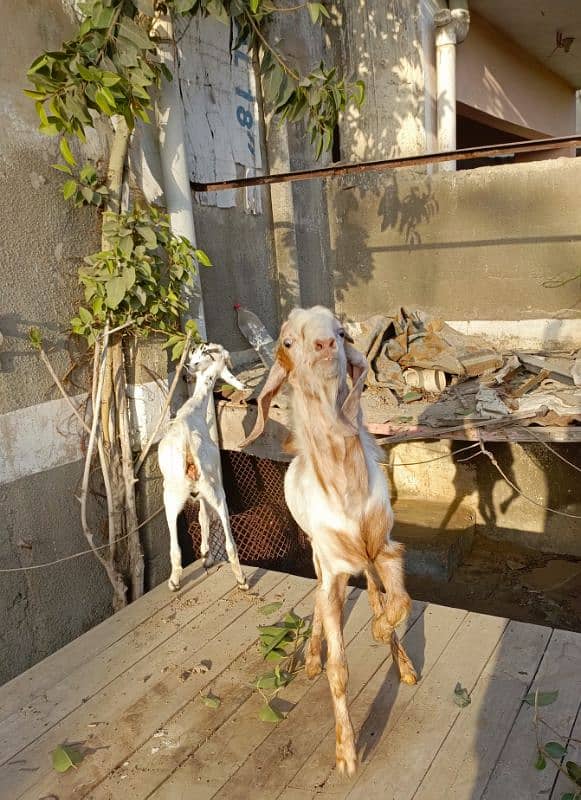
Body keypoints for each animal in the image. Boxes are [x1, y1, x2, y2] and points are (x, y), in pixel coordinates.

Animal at [159, 340, 247, 592]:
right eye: (225, 366)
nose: (241, 384)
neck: (192, 412)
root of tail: (188, 447)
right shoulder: (206, 490)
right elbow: (204, 517)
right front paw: (207, 554)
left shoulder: (198, 494)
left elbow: (201, 518)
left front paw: (206, 555)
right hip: (215, 491)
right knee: (229, 541)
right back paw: (241, 580)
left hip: (171, 497)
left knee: (175, 547)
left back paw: (174, 582)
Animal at [241, 304, 416, 776]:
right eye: (287, 341)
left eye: (341, 331)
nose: (324, 344)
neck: (345, 487)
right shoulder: (333, 565)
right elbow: (339, 667)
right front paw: (346, 753)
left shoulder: (386, 548)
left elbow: (398, 604)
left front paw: (383, 633)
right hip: (318, 555)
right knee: (320, 596)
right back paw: (313, 657)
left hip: (366, 560)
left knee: (373, 592)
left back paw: (401, 660)